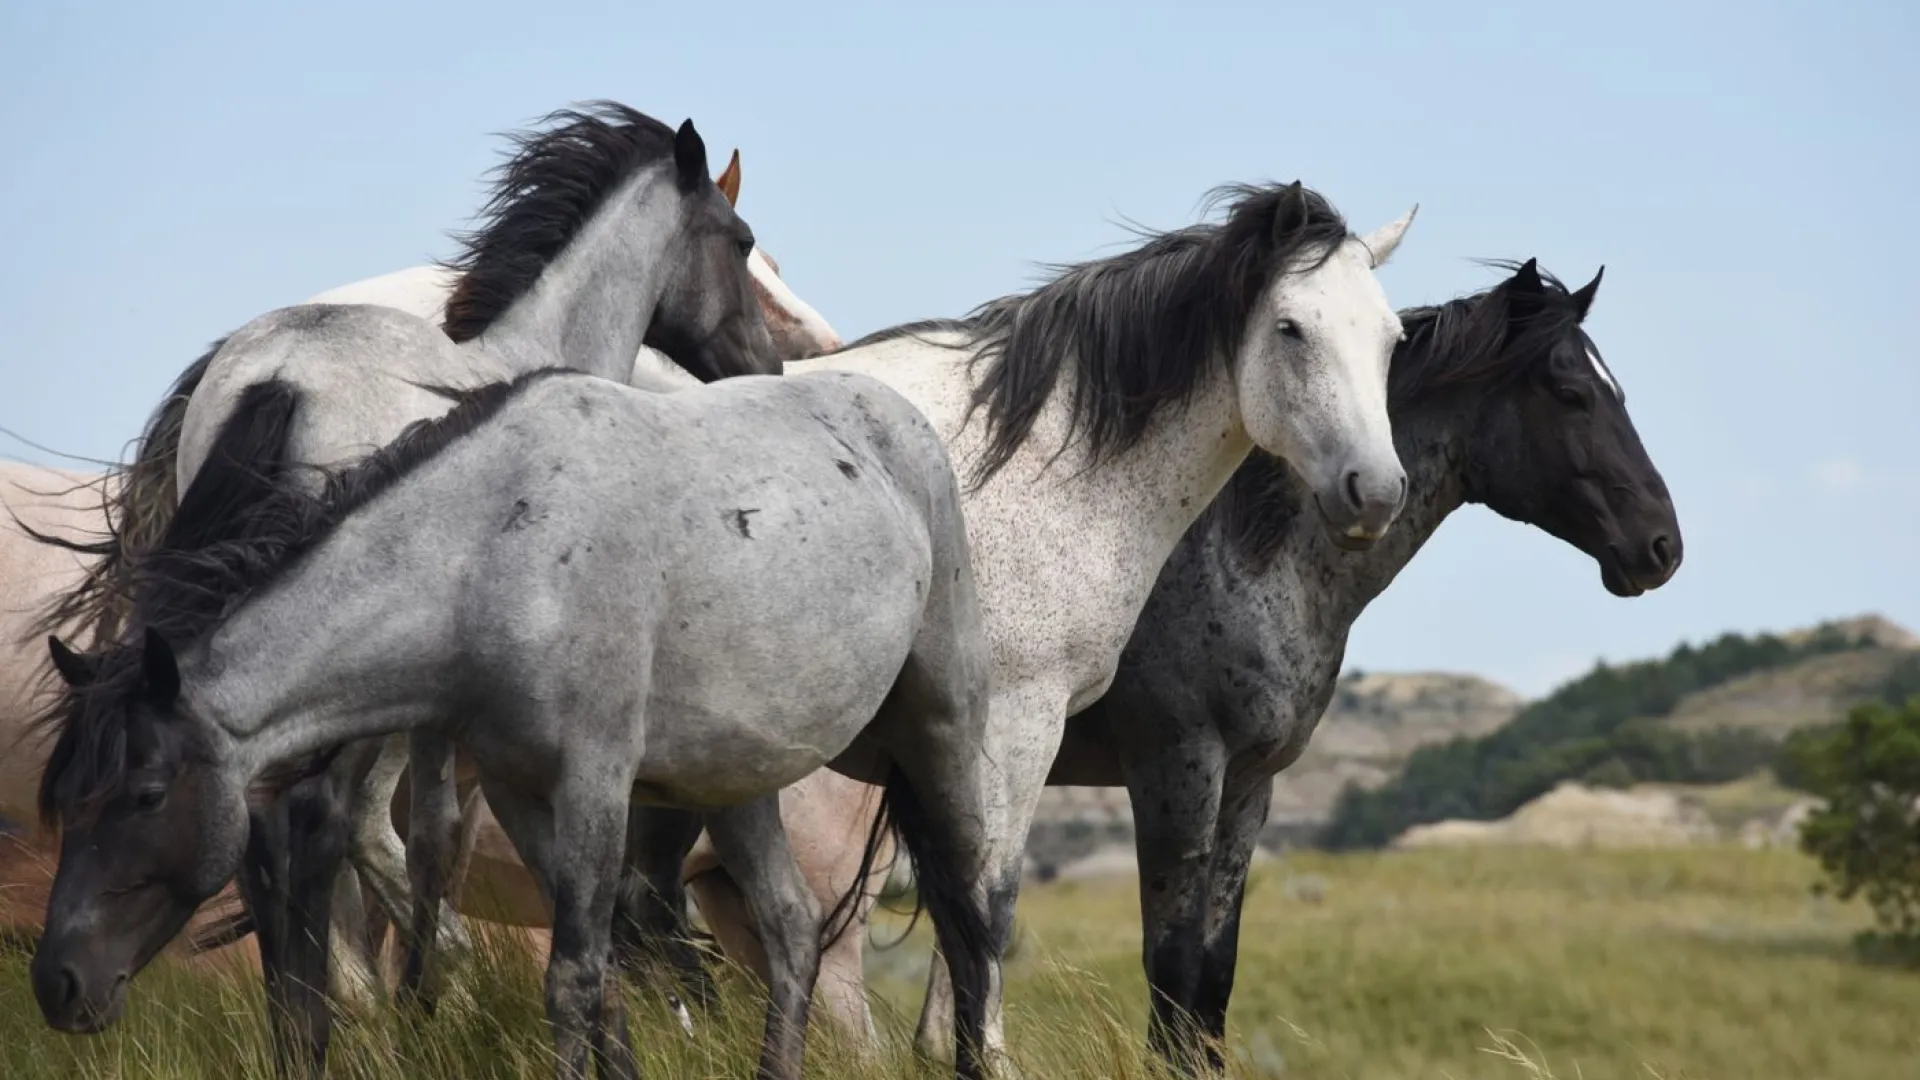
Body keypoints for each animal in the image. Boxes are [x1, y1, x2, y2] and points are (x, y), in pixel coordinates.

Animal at [23, 100, 785, 1075]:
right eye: (742, 242)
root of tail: (276, 376)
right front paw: (430, 997)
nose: (764, 365)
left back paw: (302, 1029)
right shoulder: (433, 709)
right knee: (306, 822)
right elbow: (431, 841)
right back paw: (321, 1026)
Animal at [29, 364, 1000, 1080]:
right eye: (69, 802)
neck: (492, 553)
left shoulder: (595, 785)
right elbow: (600, 982)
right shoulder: (519, 791)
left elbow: (570, 980)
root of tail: (898, 421)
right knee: (794, 931)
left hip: (940, 736)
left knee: (969, 919)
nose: (57, 984)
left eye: (148, 793)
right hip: (737, 782)